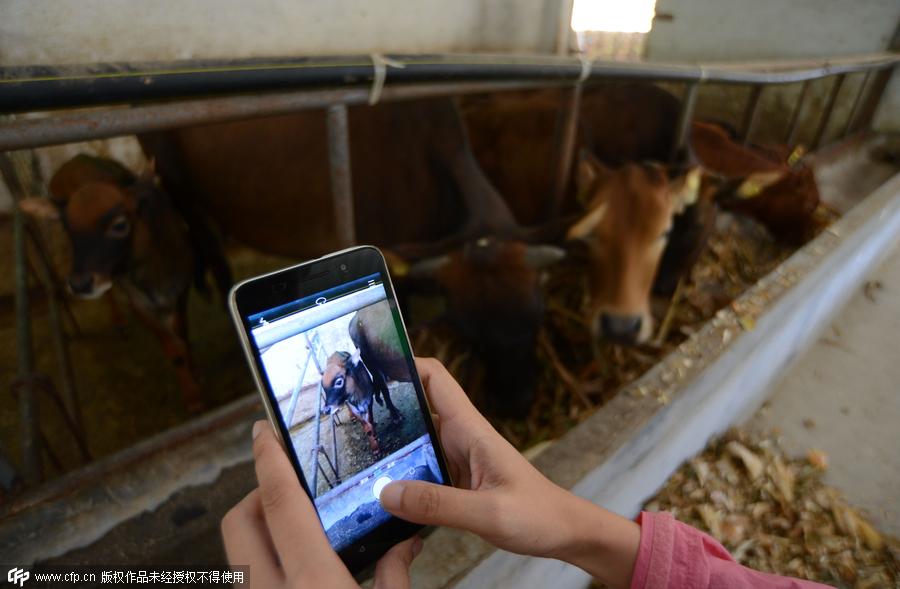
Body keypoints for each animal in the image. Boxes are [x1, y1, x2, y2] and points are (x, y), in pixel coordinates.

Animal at [19, 153, 206, 408]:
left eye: (119, 224)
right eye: (68, 230)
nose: (79, 284)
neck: (153, 272)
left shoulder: (180, 290)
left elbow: (182, 335)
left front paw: (194, 367)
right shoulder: (137, 303)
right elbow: (173, 349)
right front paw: (192, 396)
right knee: (108, 294)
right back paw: (119, 322)